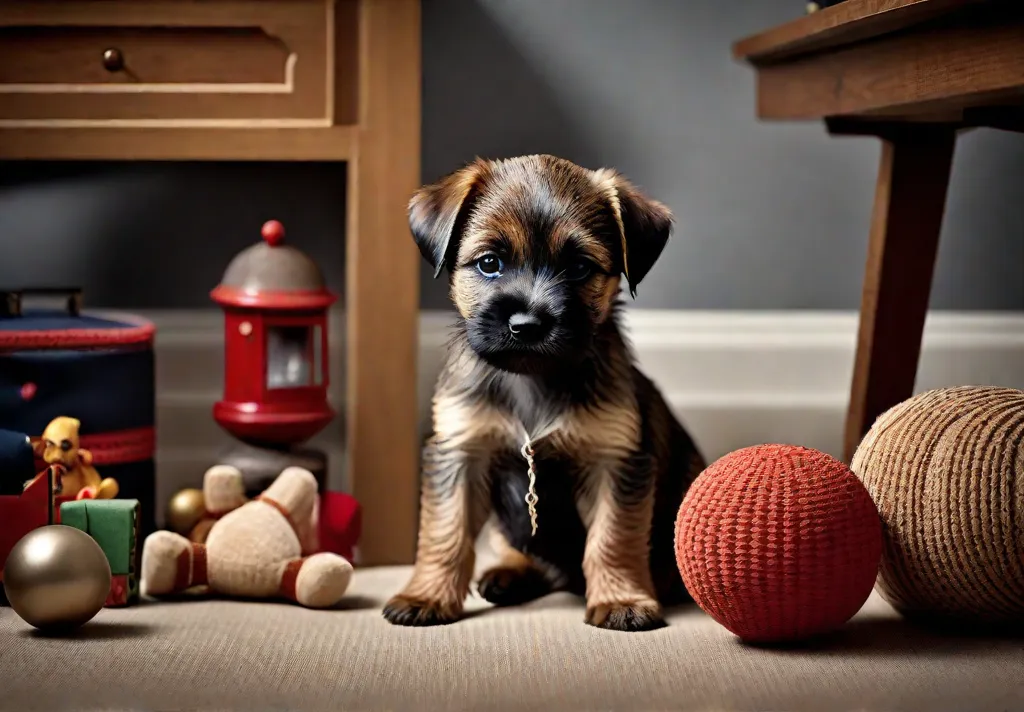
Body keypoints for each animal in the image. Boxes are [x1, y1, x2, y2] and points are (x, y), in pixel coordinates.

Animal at [385, 157, 704, 635]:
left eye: (579, 268)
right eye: (490, 263)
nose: (527, 324)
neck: (532, 377)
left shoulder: (615, 461)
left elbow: (613, 538)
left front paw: (621, 599)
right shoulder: (459, 452)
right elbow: (446, 532)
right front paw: (426, 595)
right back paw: (510, 573)